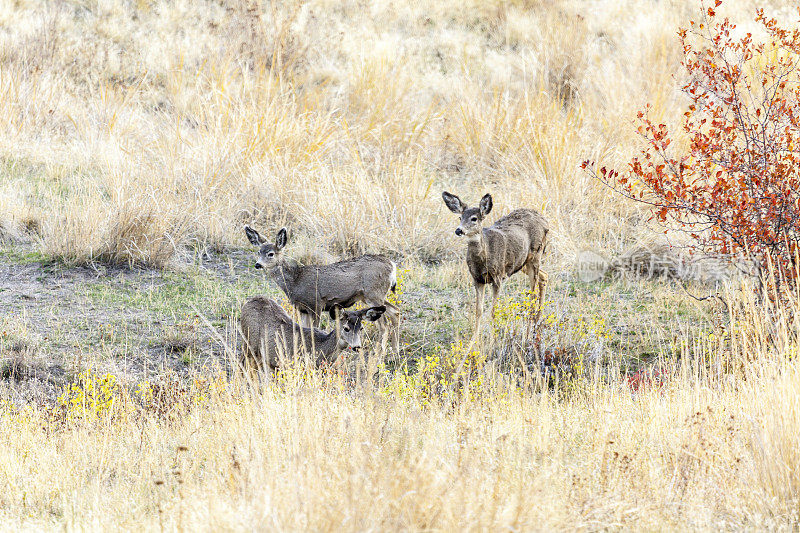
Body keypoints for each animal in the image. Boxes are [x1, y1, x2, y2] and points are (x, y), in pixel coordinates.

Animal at [242, 224, 400, 354]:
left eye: (271, 254)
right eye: (259, 252)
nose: (257, 264)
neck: (295, 281)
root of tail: (392, 265)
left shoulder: (316, 304)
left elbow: (314, 329)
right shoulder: (302, 308)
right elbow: (303, 329)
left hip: (373, 293)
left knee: (384, 324)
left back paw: (380, 354)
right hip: (374, 295)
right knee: (395, 311)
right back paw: (394, 351)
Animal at [440, 191, 548, 324]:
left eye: (474, 218)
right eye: (460, 218)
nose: (458, 230)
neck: (484, 258)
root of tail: (544, 220)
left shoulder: (498, 276)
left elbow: (493, 312)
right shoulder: (477, 279)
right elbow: (478, 311)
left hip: (536, 255)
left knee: (533, 294)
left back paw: (533, 323)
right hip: (522, 263)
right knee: (544, 276)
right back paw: (538, 319)